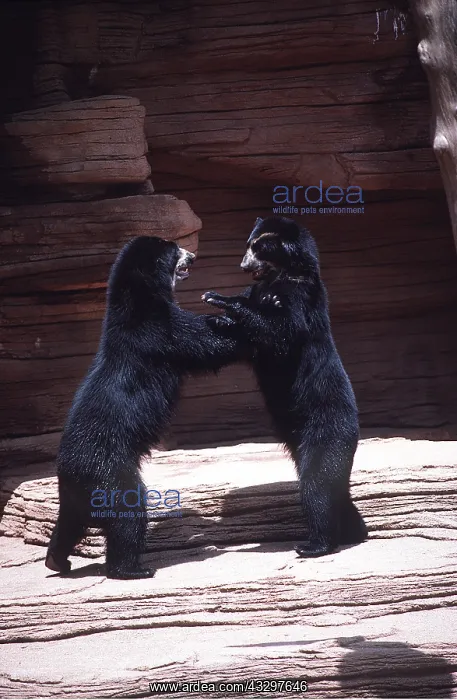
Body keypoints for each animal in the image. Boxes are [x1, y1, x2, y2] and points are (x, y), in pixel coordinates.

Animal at [46, 236, 244, 579]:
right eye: (176, 250)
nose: (193, 255)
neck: (137, 299)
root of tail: (68, 470)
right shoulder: (161, 332)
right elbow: (207, 342)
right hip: (109, 468)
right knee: (128, 510)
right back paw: (133, 568)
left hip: (77, 490)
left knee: (70, 522)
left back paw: (57, 559)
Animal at [202, 216, 367, 557]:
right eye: (248, 244)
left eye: (259, 247)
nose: (242, 265)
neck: (279, 275)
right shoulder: (262, 289)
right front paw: (222, 319)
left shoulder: (301, 297)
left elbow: (282, 331)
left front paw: (218, 298)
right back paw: (353, 530)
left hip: (327, 427)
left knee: (318, 481)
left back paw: (315, 544)